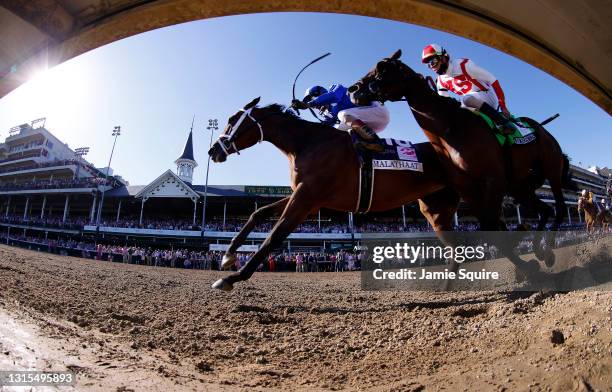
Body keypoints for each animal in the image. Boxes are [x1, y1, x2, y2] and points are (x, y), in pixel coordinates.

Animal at [208, 96, 462, 290]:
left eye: (232, 120)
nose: (212, 151)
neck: (306, 143)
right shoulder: (306, 198)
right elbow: (259, 212)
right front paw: (228, 255)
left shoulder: (306, 198)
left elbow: (275, 235)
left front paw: (232, 277)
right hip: (435, 210)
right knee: (455, 248)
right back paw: (447, 286)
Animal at [350, 49, 572, 270]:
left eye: (382, 68)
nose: (353, 90)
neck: (451, 129)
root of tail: (541, 129)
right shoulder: (468, 188)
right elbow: (490, 226)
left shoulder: (493, 180)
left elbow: (491, 224)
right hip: (519, 186)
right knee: (545, 209)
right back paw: (540, 249)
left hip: (551, 168)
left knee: (559, 208)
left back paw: (547, 250)